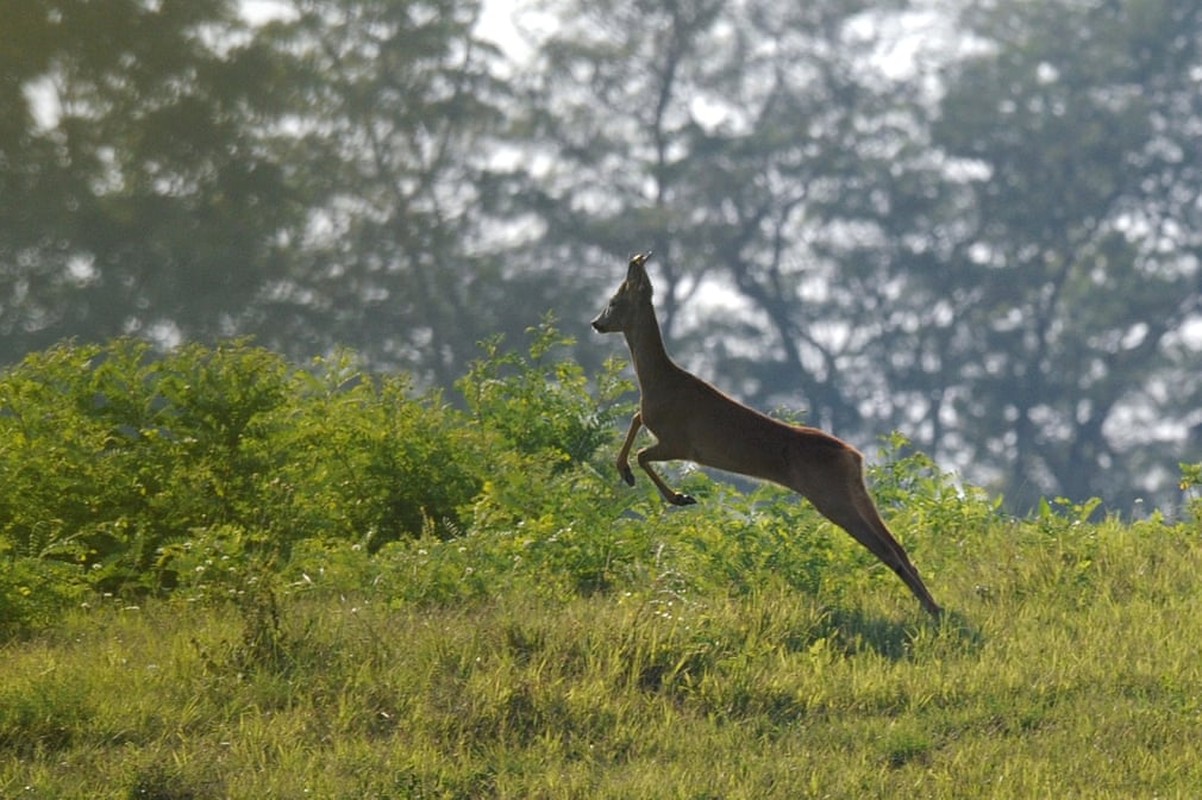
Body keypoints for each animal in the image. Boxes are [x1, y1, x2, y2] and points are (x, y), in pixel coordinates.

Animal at [596, 251, 942, 615]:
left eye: (614, 301)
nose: (595, 323)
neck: (658, 379)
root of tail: (854, 456)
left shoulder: (681, 443)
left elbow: (641, 452)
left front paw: (678, 496)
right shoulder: (659, 429)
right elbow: (636, 420)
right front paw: (626, 473)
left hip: (831, 497)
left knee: (886, 549)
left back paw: (932, 611)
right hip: (855, 492)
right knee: (897, 545)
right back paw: (935, 608)